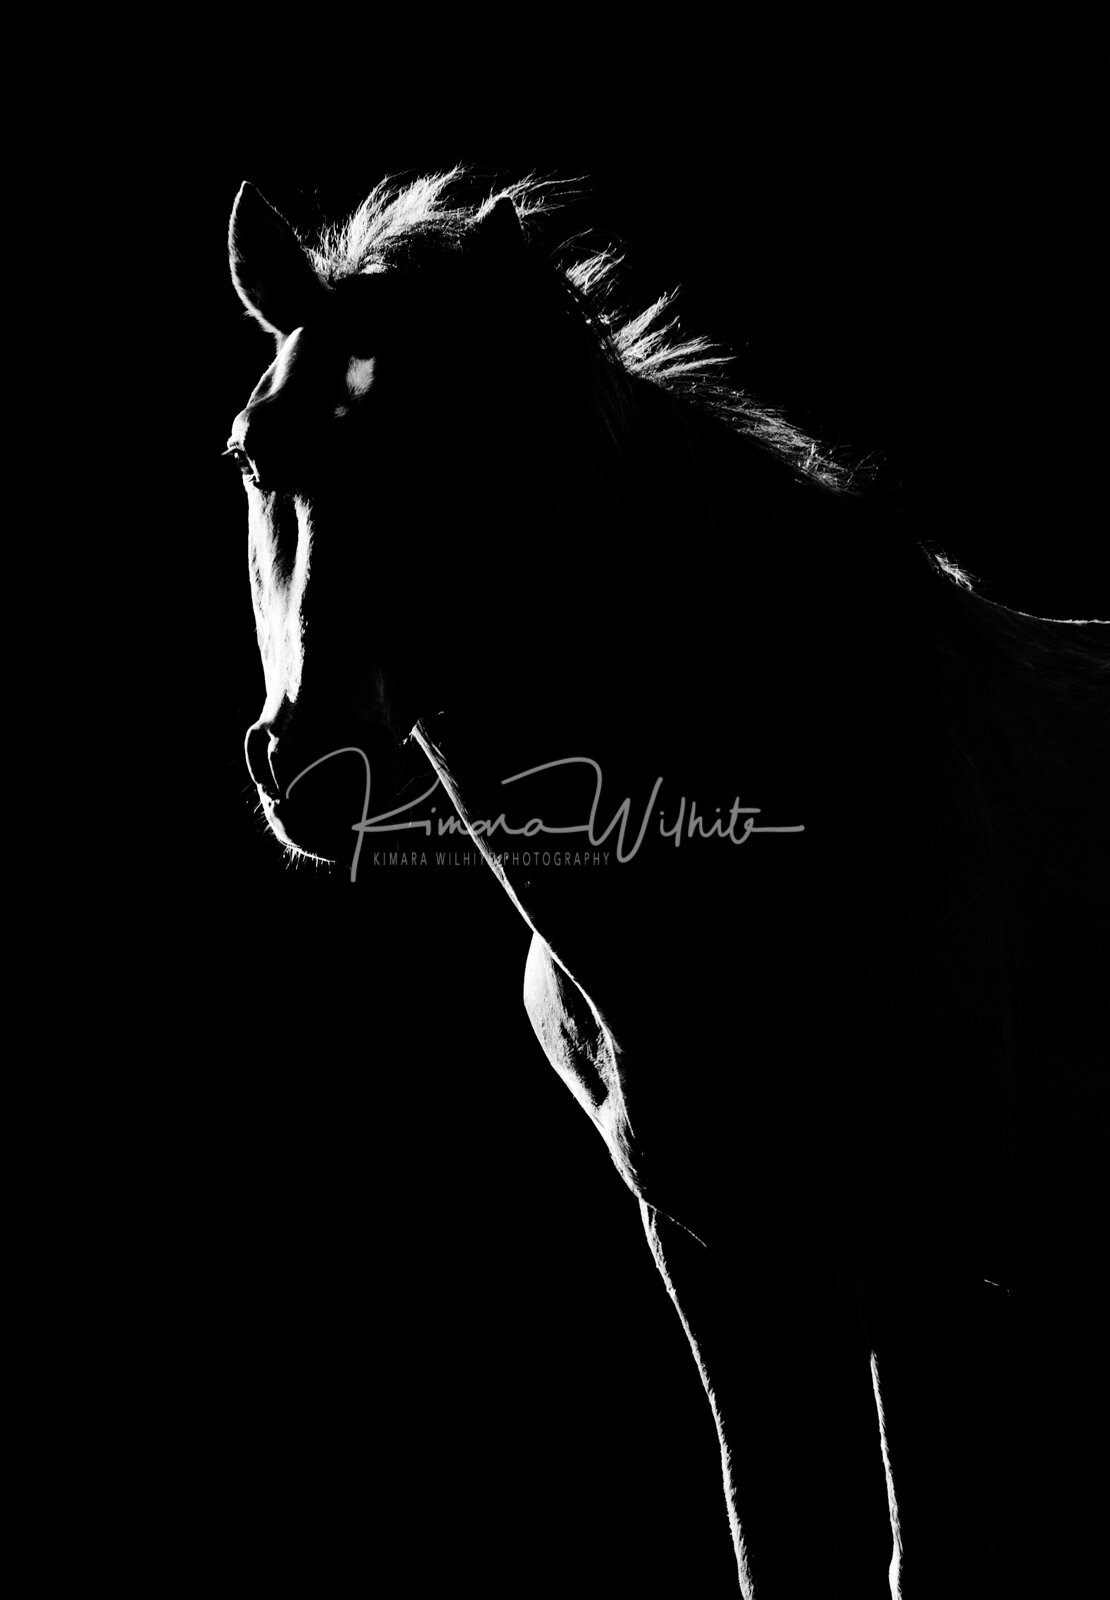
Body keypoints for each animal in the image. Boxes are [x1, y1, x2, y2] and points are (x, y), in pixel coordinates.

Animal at [225, 170, 1108, 1598]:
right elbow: (776, 1544)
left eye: (454, 446)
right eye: (256, 453)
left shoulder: (919, 1257)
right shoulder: (712, 1258)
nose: (310, 759)